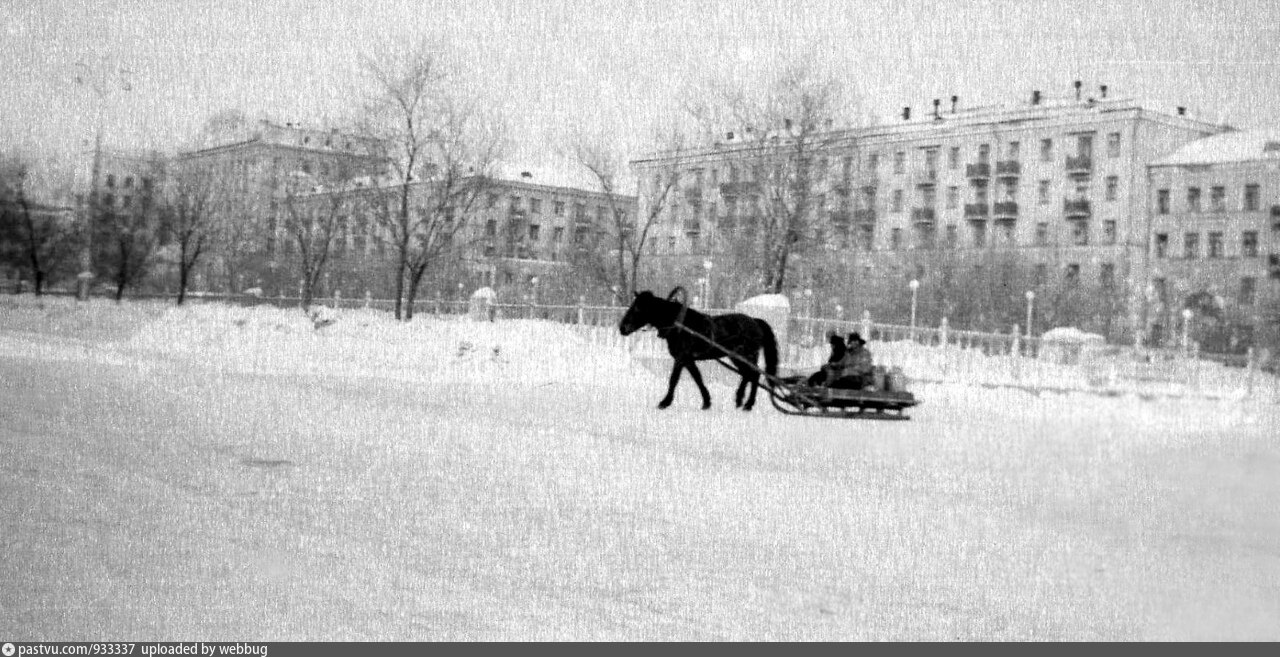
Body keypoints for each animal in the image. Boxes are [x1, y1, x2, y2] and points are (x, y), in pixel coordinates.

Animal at [619, 286, 778, 409]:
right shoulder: (688, 360)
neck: (681, 325)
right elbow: (698, 378)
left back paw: (747, 402)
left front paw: (665, 402)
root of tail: (755, 322)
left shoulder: (681, 358)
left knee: (753, 375)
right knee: (749, 374)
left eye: (638, 308)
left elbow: (674, 379)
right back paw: (741, 401)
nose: (622, 328)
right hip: (737, 357)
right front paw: (706, 401)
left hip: (746, 356)